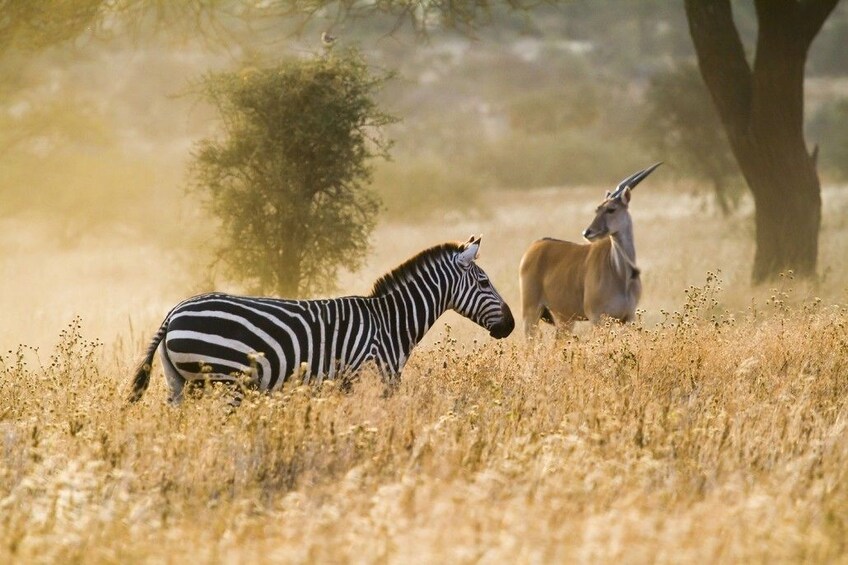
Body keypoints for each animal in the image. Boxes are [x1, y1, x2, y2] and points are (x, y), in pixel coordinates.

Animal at [125, 236, 510, 404]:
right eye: (484, 282)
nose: (510, 326)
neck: (390, 322)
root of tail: (174, 312)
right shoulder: (371, 380)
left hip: (179, 384)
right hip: (224, 380)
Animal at [516, 165, 664, 338]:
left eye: (611, 209)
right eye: (597, 209)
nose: (588, 232)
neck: (621, 274)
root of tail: (533, 247)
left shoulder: (627, 318)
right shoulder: (597, 317)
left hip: (564, 319)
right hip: (531, 313)